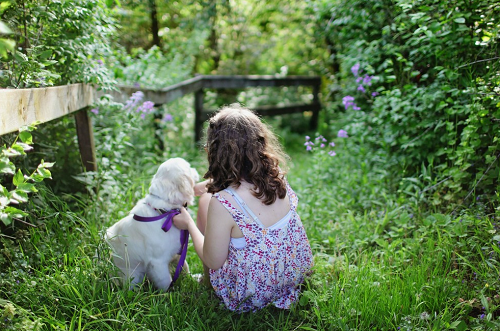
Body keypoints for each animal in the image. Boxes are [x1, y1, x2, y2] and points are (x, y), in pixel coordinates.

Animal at [105, 158, 199, 290]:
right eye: (189, 167)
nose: (196, 169)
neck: (165, 212)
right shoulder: (158, 262)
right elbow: (166, 282)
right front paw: (170, 293)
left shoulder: (178, 252)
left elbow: (185, 267)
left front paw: (193, 279)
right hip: (133, 276)